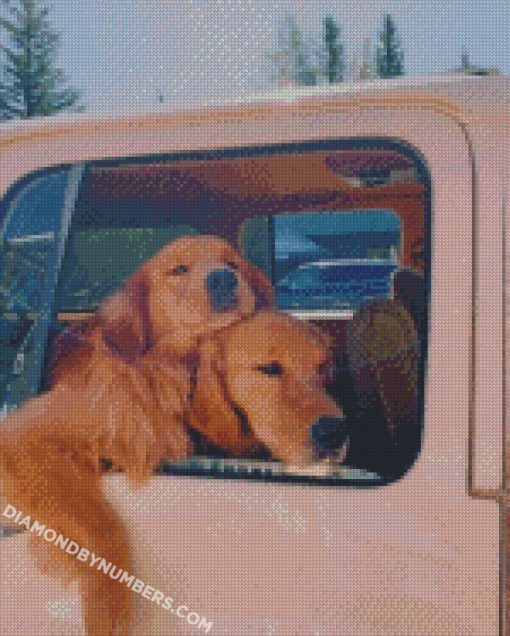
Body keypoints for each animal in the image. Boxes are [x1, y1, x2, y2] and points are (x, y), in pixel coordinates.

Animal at [0, 235, 274, 636]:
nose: (224, 278)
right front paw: (108, 611)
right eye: (178, 269)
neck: (156, 373)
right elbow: (103, 527)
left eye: (233, 263)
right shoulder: (23, 438)